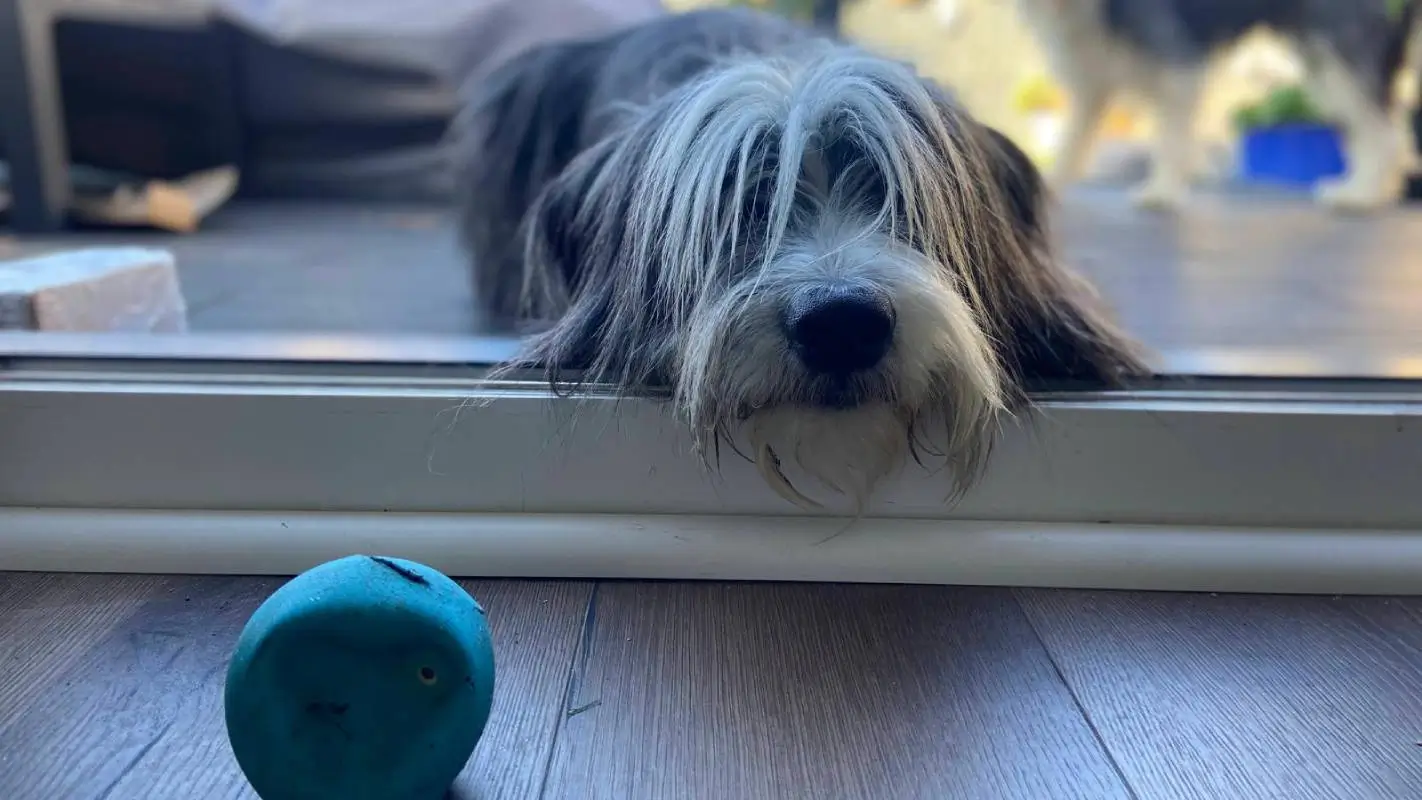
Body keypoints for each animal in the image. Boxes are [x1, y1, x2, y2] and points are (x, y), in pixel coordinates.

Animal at [1012, 0, 1422, 213]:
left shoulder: (1176, 63)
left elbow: (1172, 138)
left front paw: (1162, 190)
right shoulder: (1090, 77)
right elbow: (1073, 141)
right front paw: (1046, 182)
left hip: (1339, 44)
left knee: (1384, 130)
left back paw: (1362, 195)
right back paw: (1369, 190)